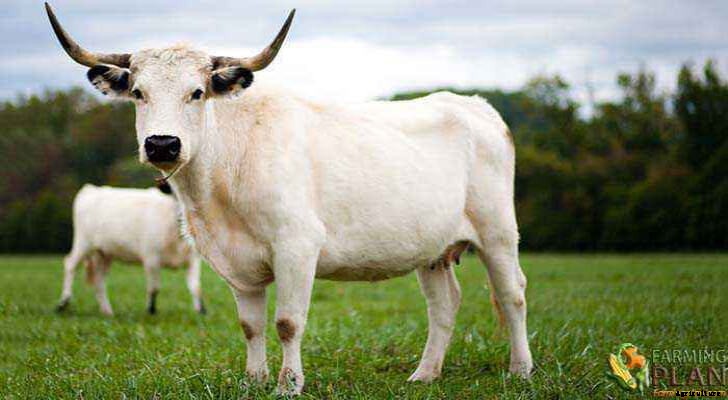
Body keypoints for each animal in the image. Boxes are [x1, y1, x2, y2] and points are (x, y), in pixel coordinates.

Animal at [56, 183, 205, 316]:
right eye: (174, 194)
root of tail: (92, 188)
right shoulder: (151, 258)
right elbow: (154, 287)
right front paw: (151, 310)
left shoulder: (193, 259)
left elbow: (196, 287)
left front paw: (201, 311)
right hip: (83, 243)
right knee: (71, 265)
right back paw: (63, 303)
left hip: (104, 253)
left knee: (99, 280)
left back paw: (107, 311)